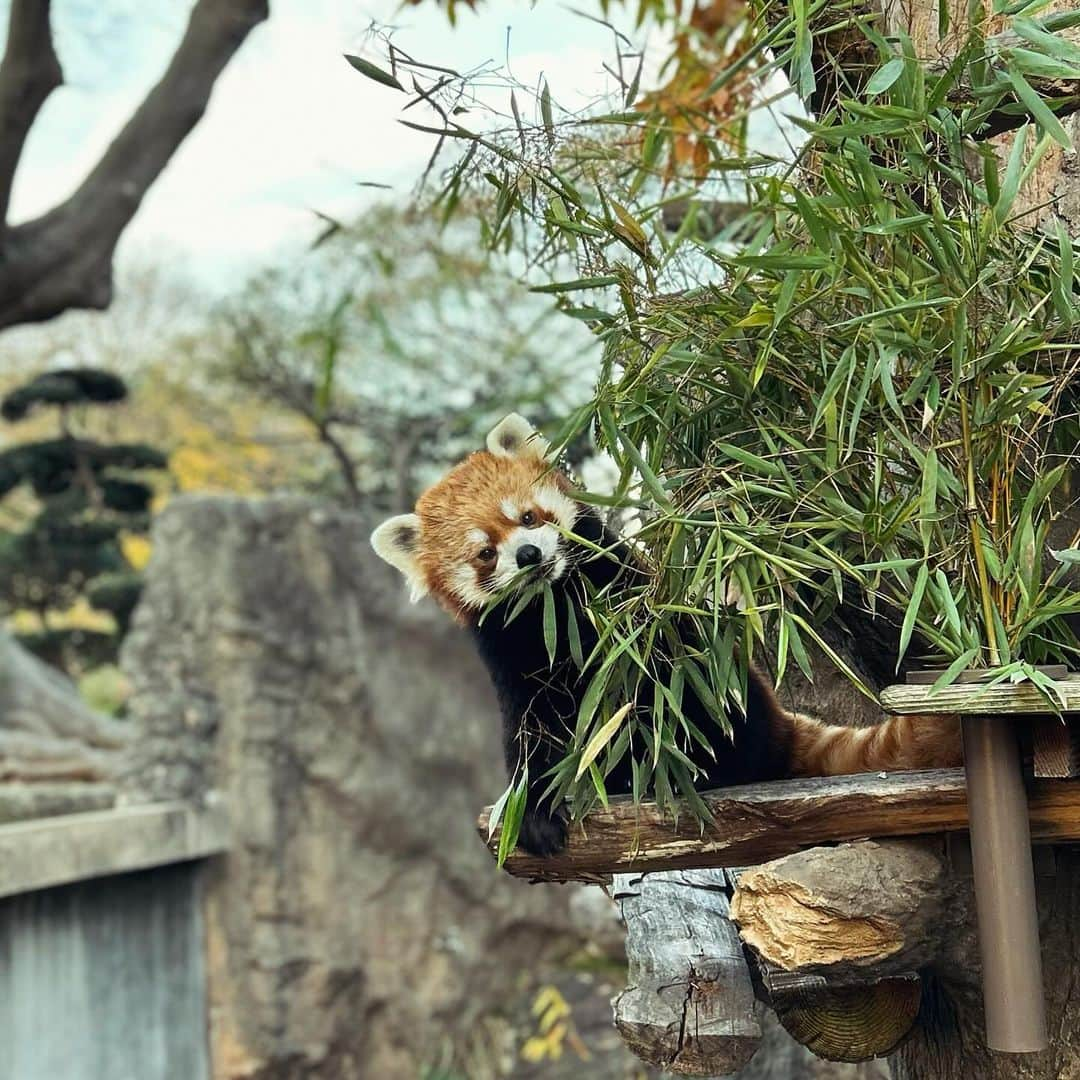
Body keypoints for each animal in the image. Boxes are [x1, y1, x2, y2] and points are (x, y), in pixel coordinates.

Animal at [373, 416, 963, 855]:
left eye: (529, 517)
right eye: (484, 553)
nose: (530, 555)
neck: (557, 611)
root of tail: (780, 724)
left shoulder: (627, 595)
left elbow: (665, 656)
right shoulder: (515, 659)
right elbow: (531, 733)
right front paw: (533, 810)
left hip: (740, 703)